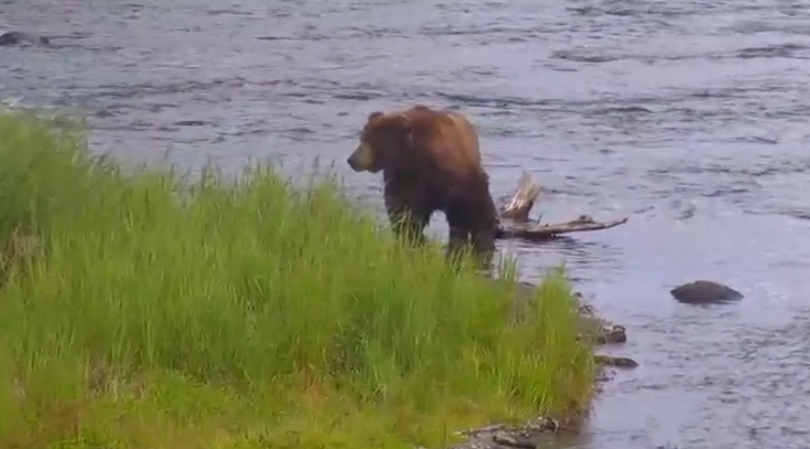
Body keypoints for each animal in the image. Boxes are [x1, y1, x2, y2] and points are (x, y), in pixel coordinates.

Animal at [342, 105, 496, 266]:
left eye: (372, 141)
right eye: (362, 138)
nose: (352, 160)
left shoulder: (455, 181)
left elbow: (467, 213)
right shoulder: (404, 180)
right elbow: (404, 212)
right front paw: (410, 236)